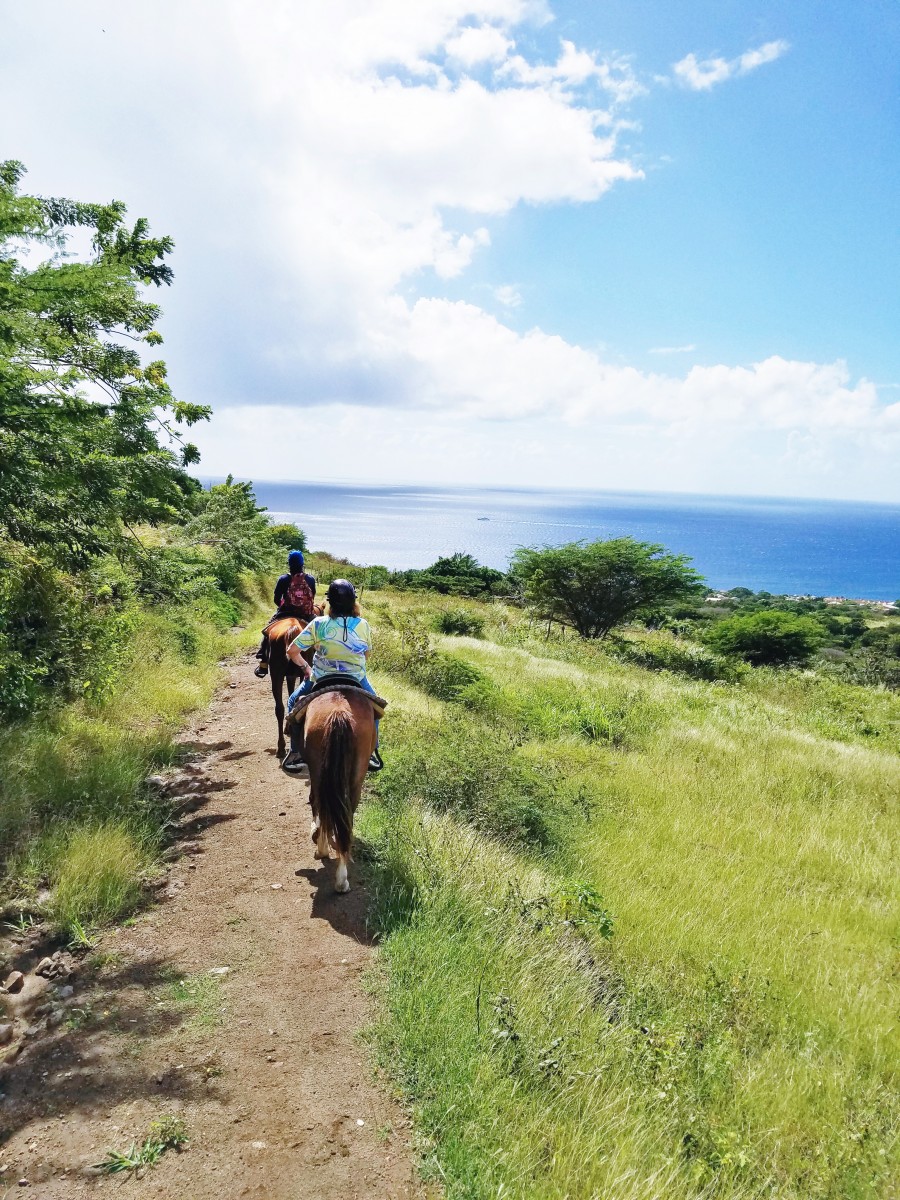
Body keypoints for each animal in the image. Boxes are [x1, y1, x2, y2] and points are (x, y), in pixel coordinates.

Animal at [303, 691, 374, 897]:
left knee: (320, 803)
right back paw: (342, 879)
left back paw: (324, 852)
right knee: (345, 812)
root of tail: (339, 711)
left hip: (318, 771)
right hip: (355, 777)